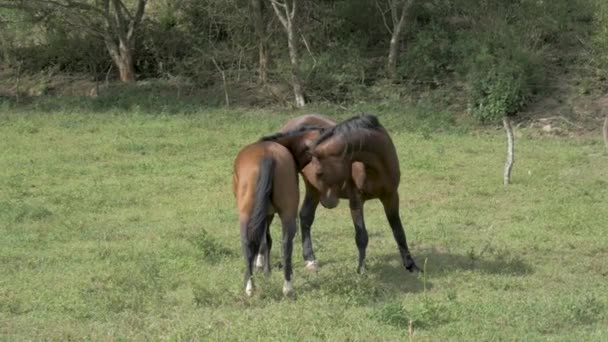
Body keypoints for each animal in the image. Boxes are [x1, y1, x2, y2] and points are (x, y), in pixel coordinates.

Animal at [266, 113, 418, 274]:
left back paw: (310, 259)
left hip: (313, 189)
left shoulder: (391, 196)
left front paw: (411, 265)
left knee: (305, 216)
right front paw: (361, 269)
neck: (376, 167)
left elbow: (398, 231)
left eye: (319, 172)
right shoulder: (356, 200)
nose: (328, 202)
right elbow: (361, 237)